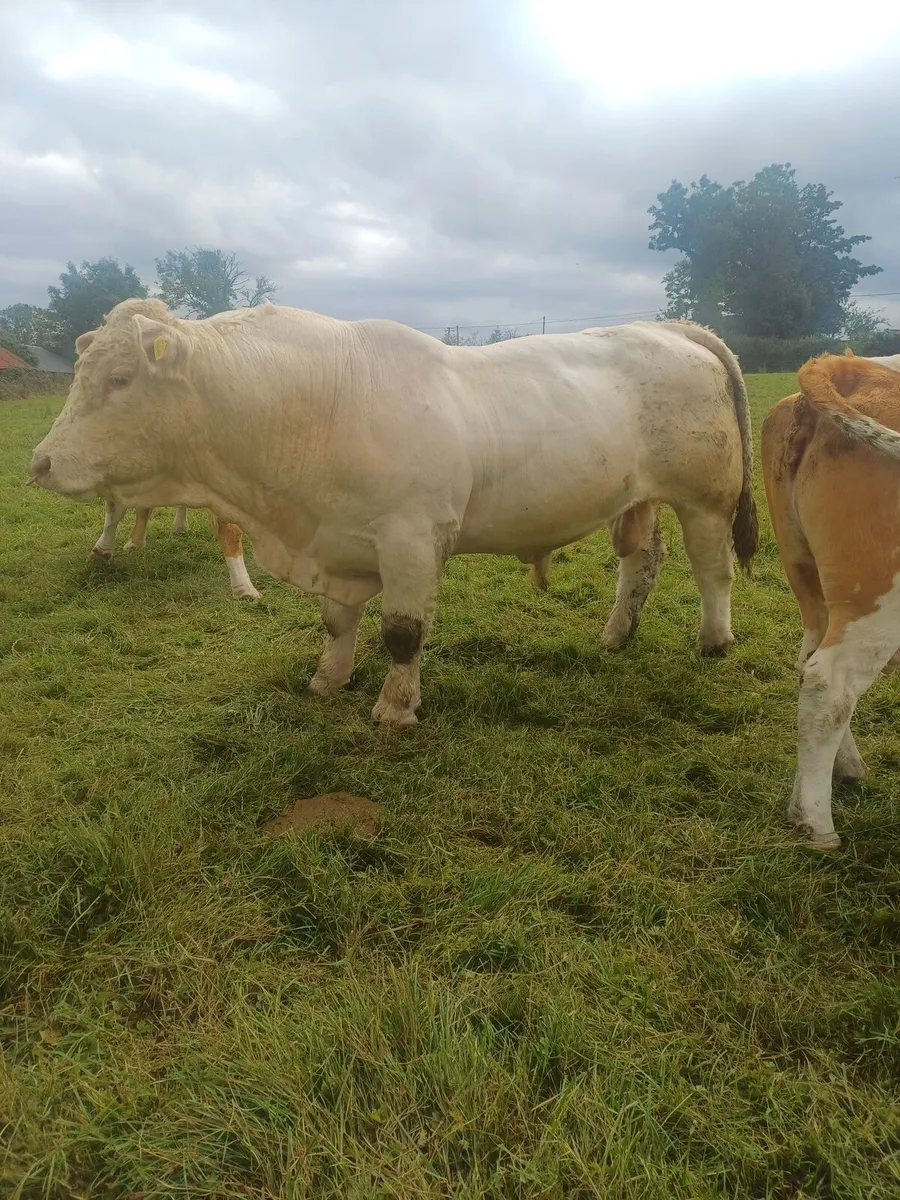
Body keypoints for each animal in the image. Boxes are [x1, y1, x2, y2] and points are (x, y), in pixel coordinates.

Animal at [762, 352, 900, 848]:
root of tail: (848, 365)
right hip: (878, 600)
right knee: (830, 681)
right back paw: (816, 824)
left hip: (806, 576)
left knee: (810, 667)